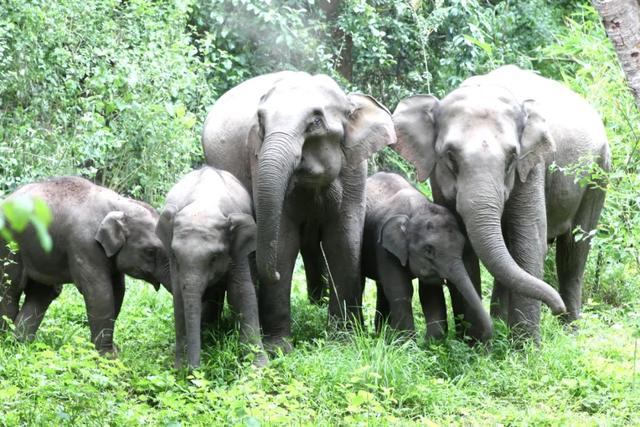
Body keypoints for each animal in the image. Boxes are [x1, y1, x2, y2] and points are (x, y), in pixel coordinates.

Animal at [158, 167, 268, 372]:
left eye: (215, 257)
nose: (195, 371)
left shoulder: (236, 250)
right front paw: (179, 368)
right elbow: (179, 296)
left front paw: (258, 368)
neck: (203, 203)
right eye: (175, 255)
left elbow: (240, 292)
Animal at [202, 71, 398, 354]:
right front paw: (278, 349)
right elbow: (283, 242)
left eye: (315, 122)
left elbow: (343, 239)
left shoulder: (354, 168)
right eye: (260, 123)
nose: (272, 275)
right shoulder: (256, 158)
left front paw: (344, 342)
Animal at [362, 172, 492, 342]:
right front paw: (406, 343)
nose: (485, 335)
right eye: (428, 250)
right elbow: (400, 291)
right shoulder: (385, 248)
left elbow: (429, 292)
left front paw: (430, 342)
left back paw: (380, 336)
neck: (416, 209)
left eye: (462, 246)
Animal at [392, 65, 608, 342]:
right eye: (450, 156)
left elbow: (529, 244)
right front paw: (472, 342)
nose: (555, 306)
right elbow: (463, 246)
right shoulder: (436, 178)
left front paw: (526, 348)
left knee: (574, 248)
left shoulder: (532, 167)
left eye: (512, 157)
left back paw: (569, 330)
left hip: (599, 173)